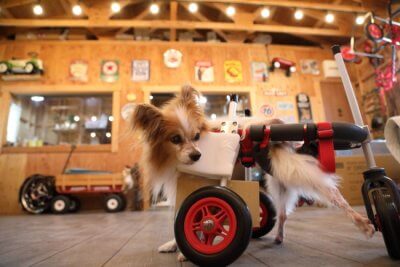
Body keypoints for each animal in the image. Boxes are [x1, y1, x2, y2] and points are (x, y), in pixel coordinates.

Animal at [130, 86, 376, 264]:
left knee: (333, 193)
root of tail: (273, 125)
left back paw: (363, 222)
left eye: (197, 136)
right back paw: (278, 236)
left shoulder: (209, 185)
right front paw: (174, 244)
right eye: (175, 139)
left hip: (292, 168)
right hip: (278, 179)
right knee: (283, 213)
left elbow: (200, 214)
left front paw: (190, 248)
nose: (197, 155)